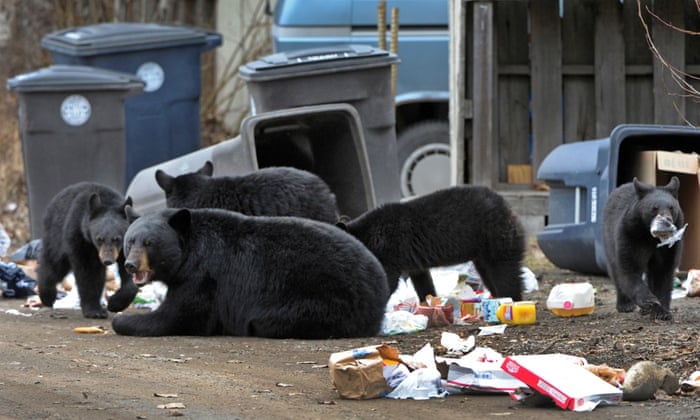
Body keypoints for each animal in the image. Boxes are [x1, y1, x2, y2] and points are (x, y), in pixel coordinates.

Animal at [37, 182, 137, 318]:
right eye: (99, 239)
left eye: (117, 239)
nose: (108, 260)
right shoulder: (79, 237)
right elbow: (85, 272)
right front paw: (94, 310)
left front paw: (114, 303)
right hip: (56, 234)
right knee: (55, 264)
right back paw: (47, 296)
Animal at [111, 207, 389, 338]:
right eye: (130, 241)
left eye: (150, 243)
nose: (131, 265)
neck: (189, 250)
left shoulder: (202, 277)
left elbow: (179, 315)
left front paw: (122, 319)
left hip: (322, 297)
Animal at [338, 185, 526, 302]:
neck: (369, 235)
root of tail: (509, 208)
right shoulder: (411, 258)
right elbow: (422, 279)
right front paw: (428, 302)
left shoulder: (389, 249)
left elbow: (388, 278)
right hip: (482, 251)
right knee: (488, 273)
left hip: (495, 236)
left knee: (505, 271)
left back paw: (511, 300)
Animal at [602, 176, 684, 320]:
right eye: (654, 207)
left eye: (671, 207)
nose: (667, 221)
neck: (650, 236)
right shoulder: (630, 235)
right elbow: (629, 267)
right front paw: (649, 300)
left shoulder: (669, 247)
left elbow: (662, 272)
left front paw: (661, 312)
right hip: (608, 238)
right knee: (615, 271)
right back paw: (625, 304)